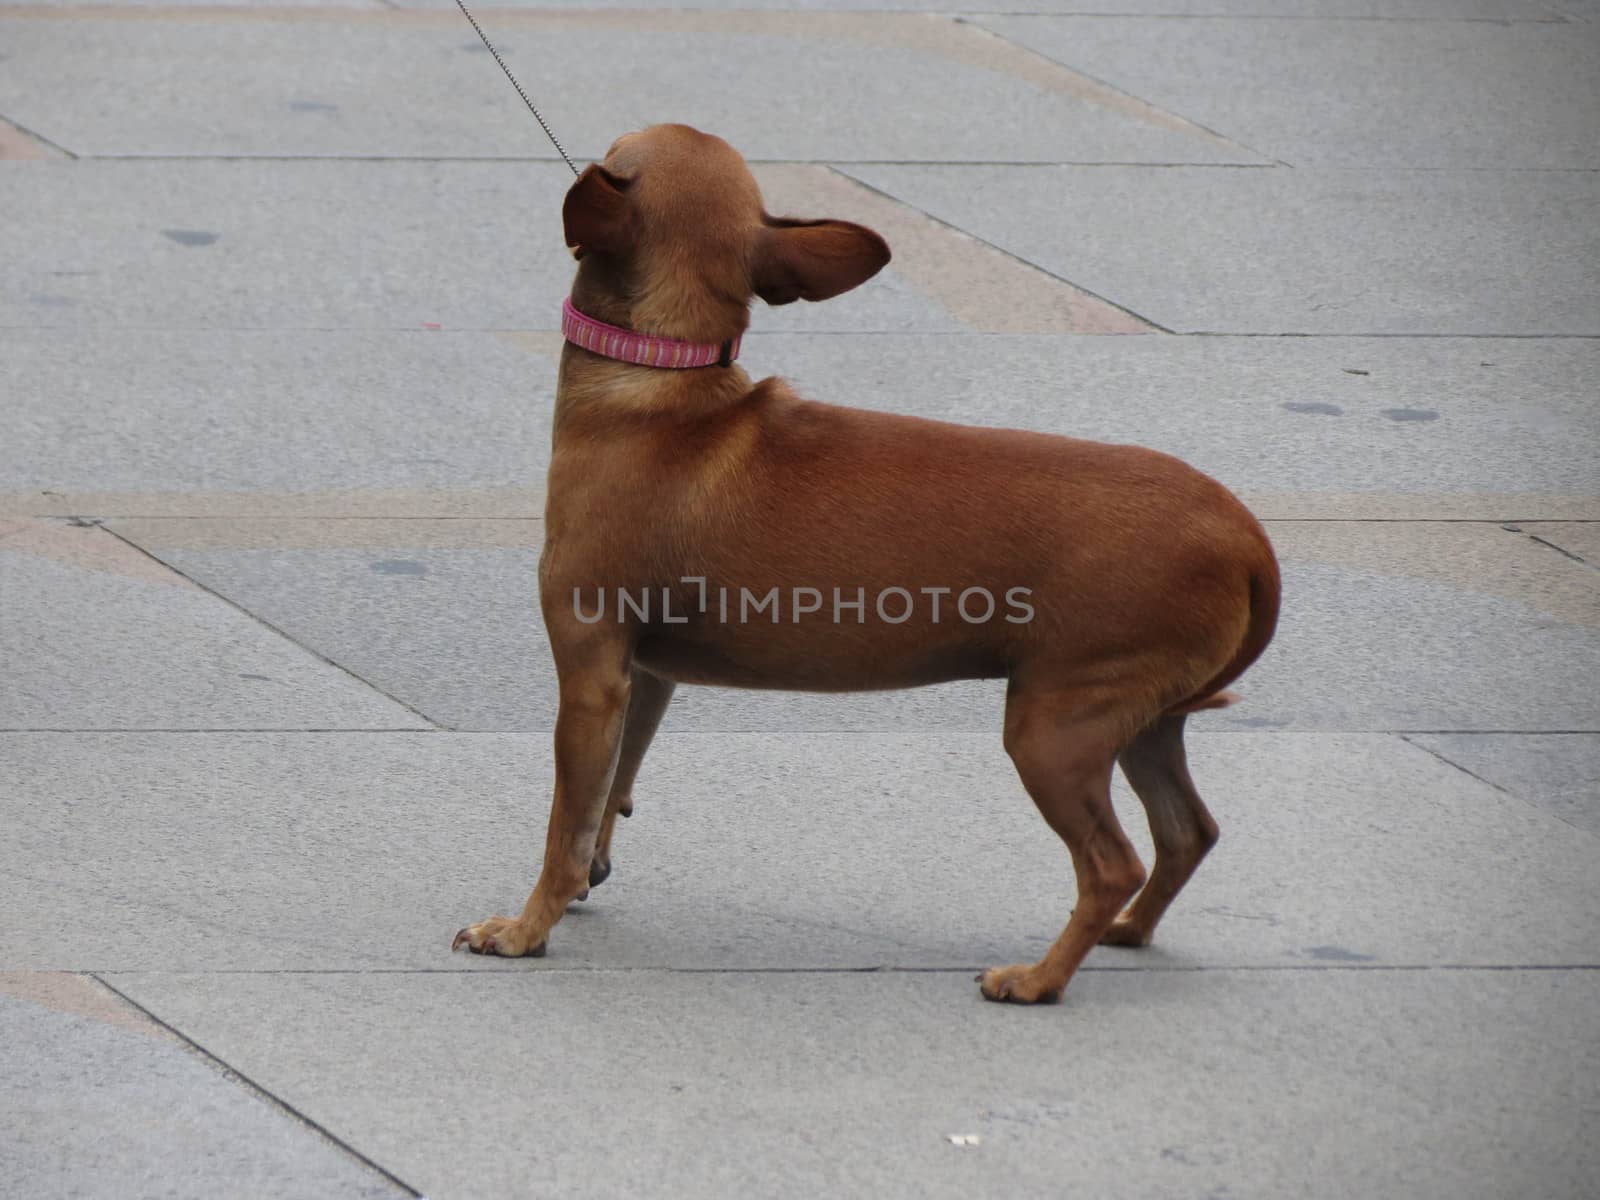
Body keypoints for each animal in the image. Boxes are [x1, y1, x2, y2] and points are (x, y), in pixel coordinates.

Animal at [457, 124, 1280, 1004]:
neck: (663, 379)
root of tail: (1246, 536)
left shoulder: (590, 675)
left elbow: (564, 824)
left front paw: (525, 929)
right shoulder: (645, 677)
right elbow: (613, 789)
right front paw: (589, 875)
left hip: (1054, 729)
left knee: (1111, 863)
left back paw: (1039, 979)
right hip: (1141, 721)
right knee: (1187, 833)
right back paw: (1126, 932)